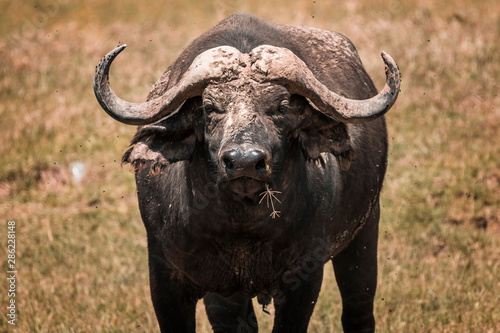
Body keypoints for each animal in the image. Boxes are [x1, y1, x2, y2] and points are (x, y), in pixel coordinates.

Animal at [93, 11, 398, 330]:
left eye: (281, 107)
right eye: (209, 107)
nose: (244, 162)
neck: (239, 228)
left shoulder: (304, 279)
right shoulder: (165, 276)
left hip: (365, 230)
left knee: (358, 307)